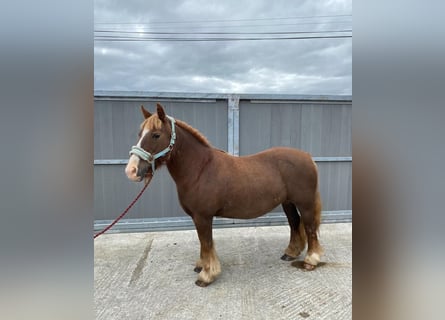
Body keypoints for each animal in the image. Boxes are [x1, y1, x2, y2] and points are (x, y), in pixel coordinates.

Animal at [124, 103, 322, 288]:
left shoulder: (203, 216)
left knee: (310, 227)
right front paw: (202, 265)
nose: (131, 171)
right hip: (288, 202)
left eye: (156, 135)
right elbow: (204, 243)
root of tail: (308, 157)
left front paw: (206, 275)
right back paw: (290, 253)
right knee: (295, 223)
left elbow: (206, 242)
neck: (200, 169)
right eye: (140, 133)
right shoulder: (198, 217)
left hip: (305, 203)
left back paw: (311, 260)